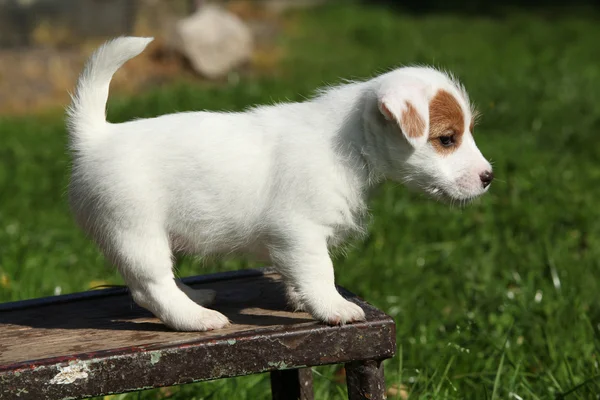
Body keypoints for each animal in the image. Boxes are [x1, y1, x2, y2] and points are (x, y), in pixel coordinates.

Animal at [65, 37, 492, 332]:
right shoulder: (300, 232)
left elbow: (299, 276)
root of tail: (97, 137)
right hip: (135, 230)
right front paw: (333, 307)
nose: (488, 177)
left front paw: (300, 299)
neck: (351, 143)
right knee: (150, 286)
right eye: (447, 139)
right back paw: (197, 317)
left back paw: (198, 296)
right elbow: (320, 272)